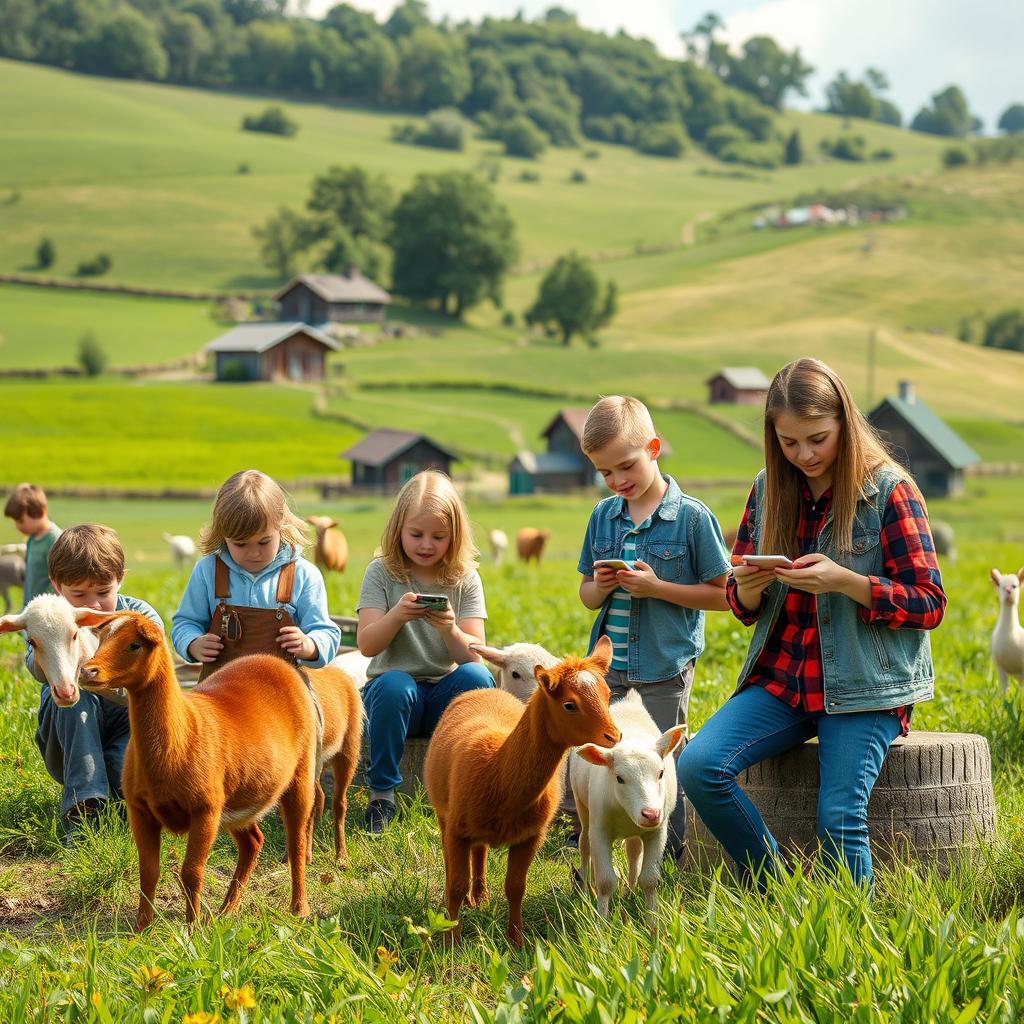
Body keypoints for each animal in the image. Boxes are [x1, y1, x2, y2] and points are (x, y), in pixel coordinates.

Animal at [573, 688, 684, 921]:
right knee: (584, 844)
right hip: (583, 806)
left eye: (661, 773)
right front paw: (602, 923)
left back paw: (630, 891)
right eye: (619, 778)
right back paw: (585, 890)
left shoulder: (657, 831)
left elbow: (649, 880)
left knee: (633, 851)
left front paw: (653, 923)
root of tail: (627, 702)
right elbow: (605, 881)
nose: (651, 813)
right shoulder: (600, 830)